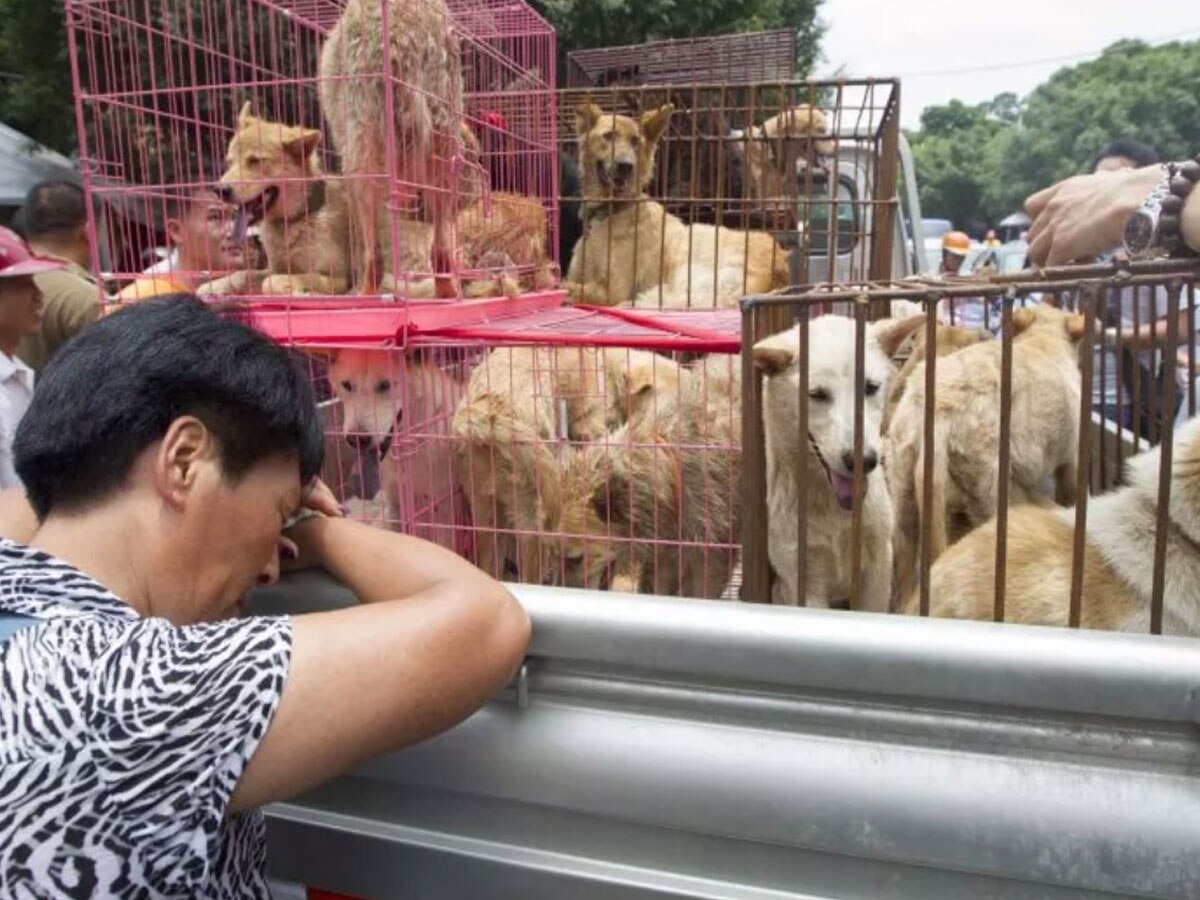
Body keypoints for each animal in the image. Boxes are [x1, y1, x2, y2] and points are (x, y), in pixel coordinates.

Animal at [319, 0, 463, 296]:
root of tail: (406, 32)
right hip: (445, 142)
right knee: (440, 246)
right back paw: (448, 291)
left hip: (361, 154)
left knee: (374, 255)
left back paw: (366, 293)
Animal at [564, 103, 792, 309]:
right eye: (609, 136)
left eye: (635, 141)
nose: (626, 166)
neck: (609, 211)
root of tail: (779, 265)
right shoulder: (578, 274)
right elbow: (568, 282)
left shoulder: (613, 290)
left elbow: (569, 288)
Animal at [883, 303, 1089, 607]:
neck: (1044, 339)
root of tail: (938, 412)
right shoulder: (1071, 455)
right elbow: (1069, 490)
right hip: (986, 482)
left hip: (903, 477)